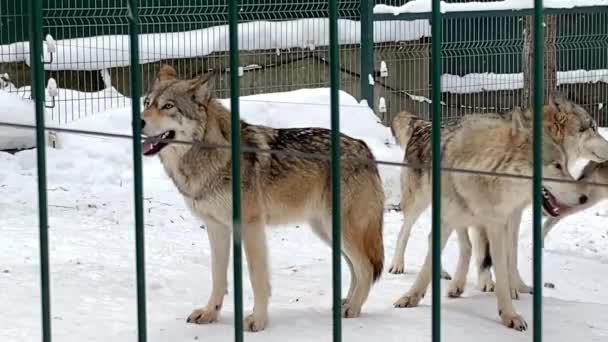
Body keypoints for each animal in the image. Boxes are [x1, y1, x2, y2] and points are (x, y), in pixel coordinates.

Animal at [140, 64, 382, 332]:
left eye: (168, 106)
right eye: (147, 102)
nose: (138, 120)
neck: (211, 155)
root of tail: (365, 148)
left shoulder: (251, 226)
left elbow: (257, 277)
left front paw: (258, 320)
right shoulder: (216, 227)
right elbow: (217, 276)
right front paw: (210, 313)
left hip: (338, 229)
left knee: (366, 267)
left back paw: (352, 308)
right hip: (327, 232)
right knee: (356, 269)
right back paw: (345, 303)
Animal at [390, 107, 588, 332]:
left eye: (565, 165)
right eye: (556, 165)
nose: (584, 197)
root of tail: (423, 123)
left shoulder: (497, 224)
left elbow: (501, 271)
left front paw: (509, 314)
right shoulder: (449, 220)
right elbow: (425, 267)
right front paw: (410, 297)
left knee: (462, 246)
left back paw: (454, 282)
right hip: (420, 204)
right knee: (406, 231)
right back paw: (398, 265)